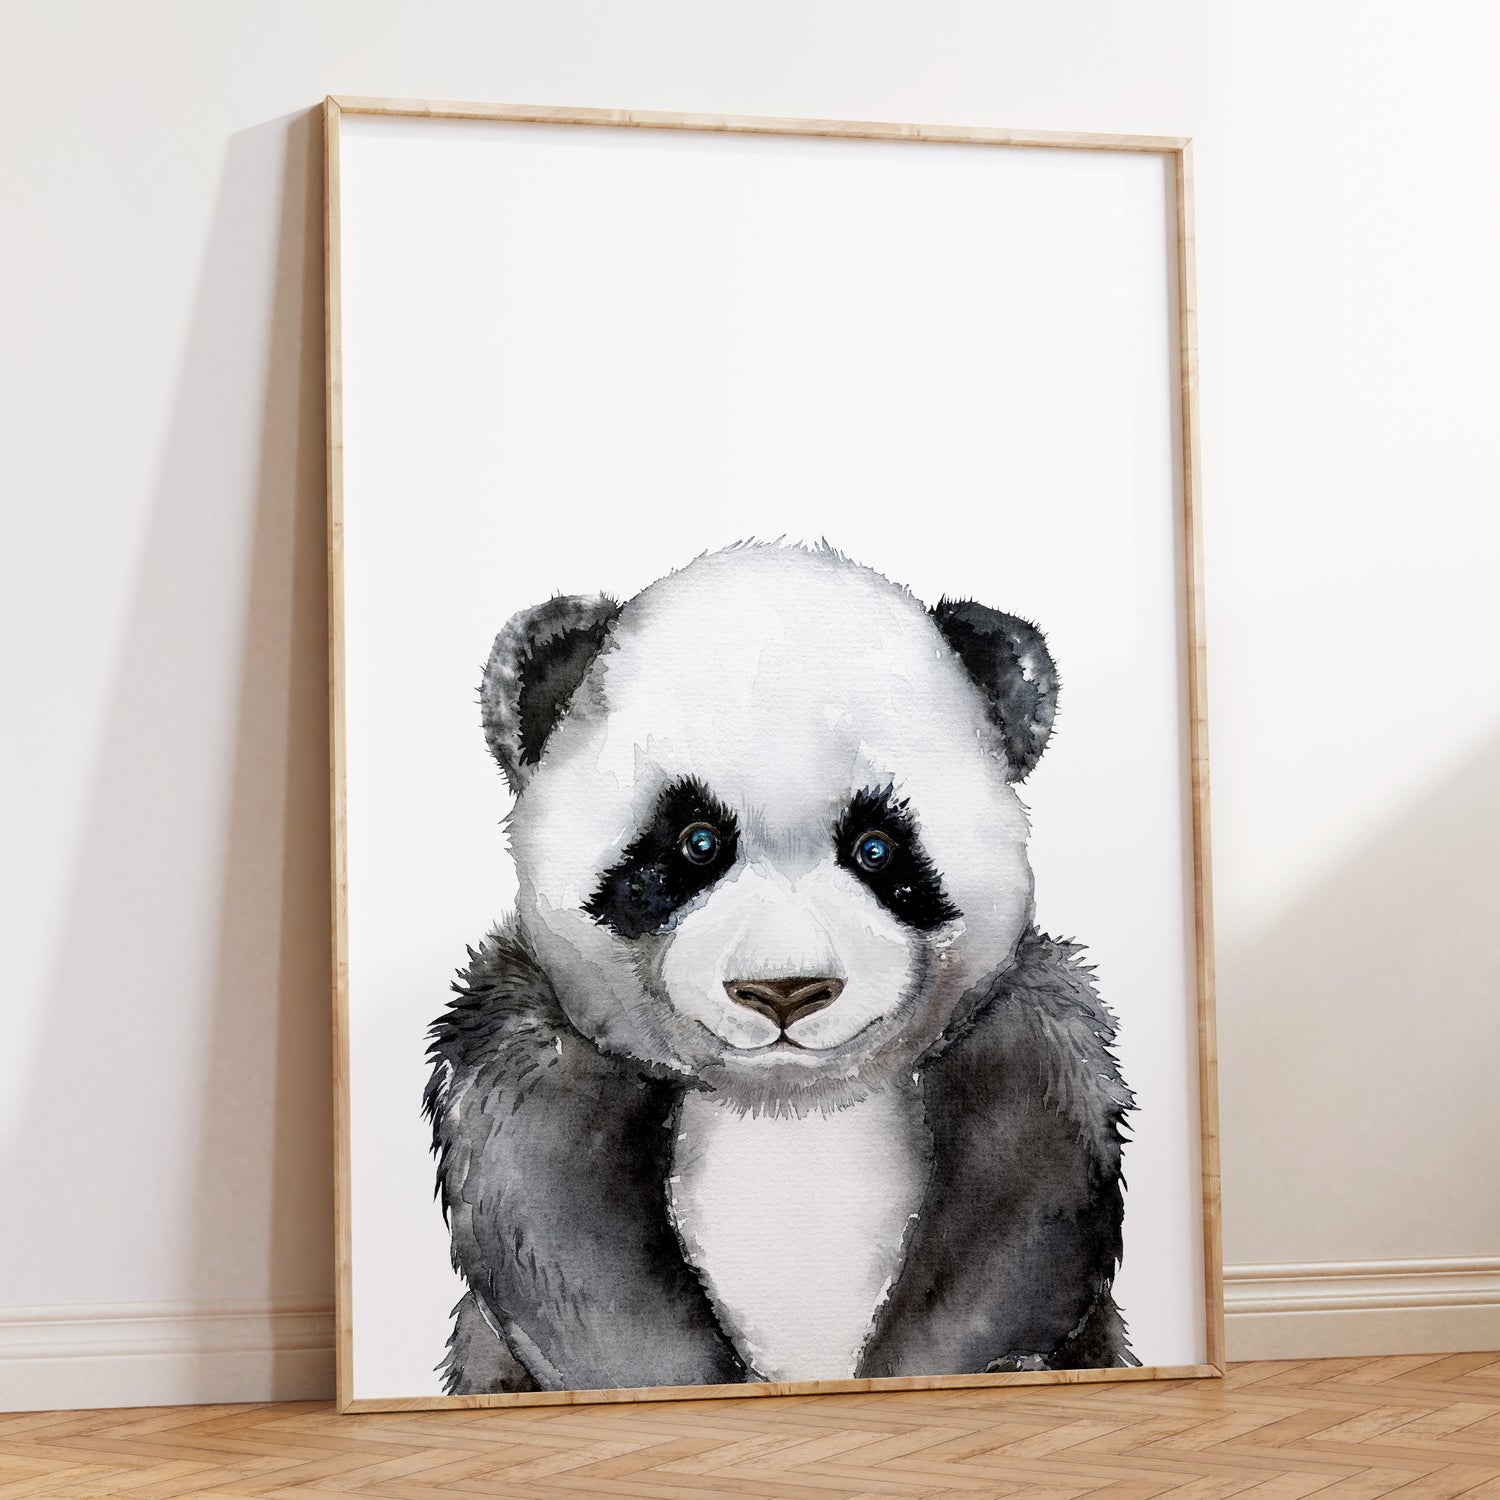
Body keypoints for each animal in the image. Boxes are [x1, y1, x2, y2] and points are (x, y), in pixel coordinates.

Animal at [424, 542, 1134, 1394]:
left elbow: (1025, 1218)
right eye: (696, 843)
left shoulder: (1032, 1040)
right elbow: (558, 1238)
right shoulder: (530, 1053)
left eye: (876, 848)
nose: (784, 991)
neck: (787, 1111)